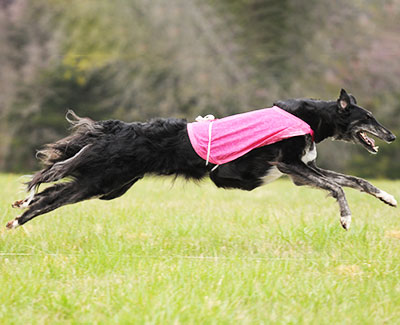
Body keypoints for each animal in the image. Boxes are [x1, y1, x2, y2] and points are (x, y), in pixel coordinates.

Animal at [8, 89, 396, 230]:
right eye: (369, 117)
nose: (392, 136)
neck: (312, 118)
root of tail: (117, 127)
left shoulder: (301, 172)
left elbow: (355, 181)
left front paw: (388, 197)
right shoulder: (291, 165)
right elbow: (338, 188)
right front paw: (346, 218)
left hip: (104, 185)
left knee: (51, 195)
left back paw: (18, 217)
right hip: (102, 176)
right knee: (49, 180)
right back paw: (22, 204)